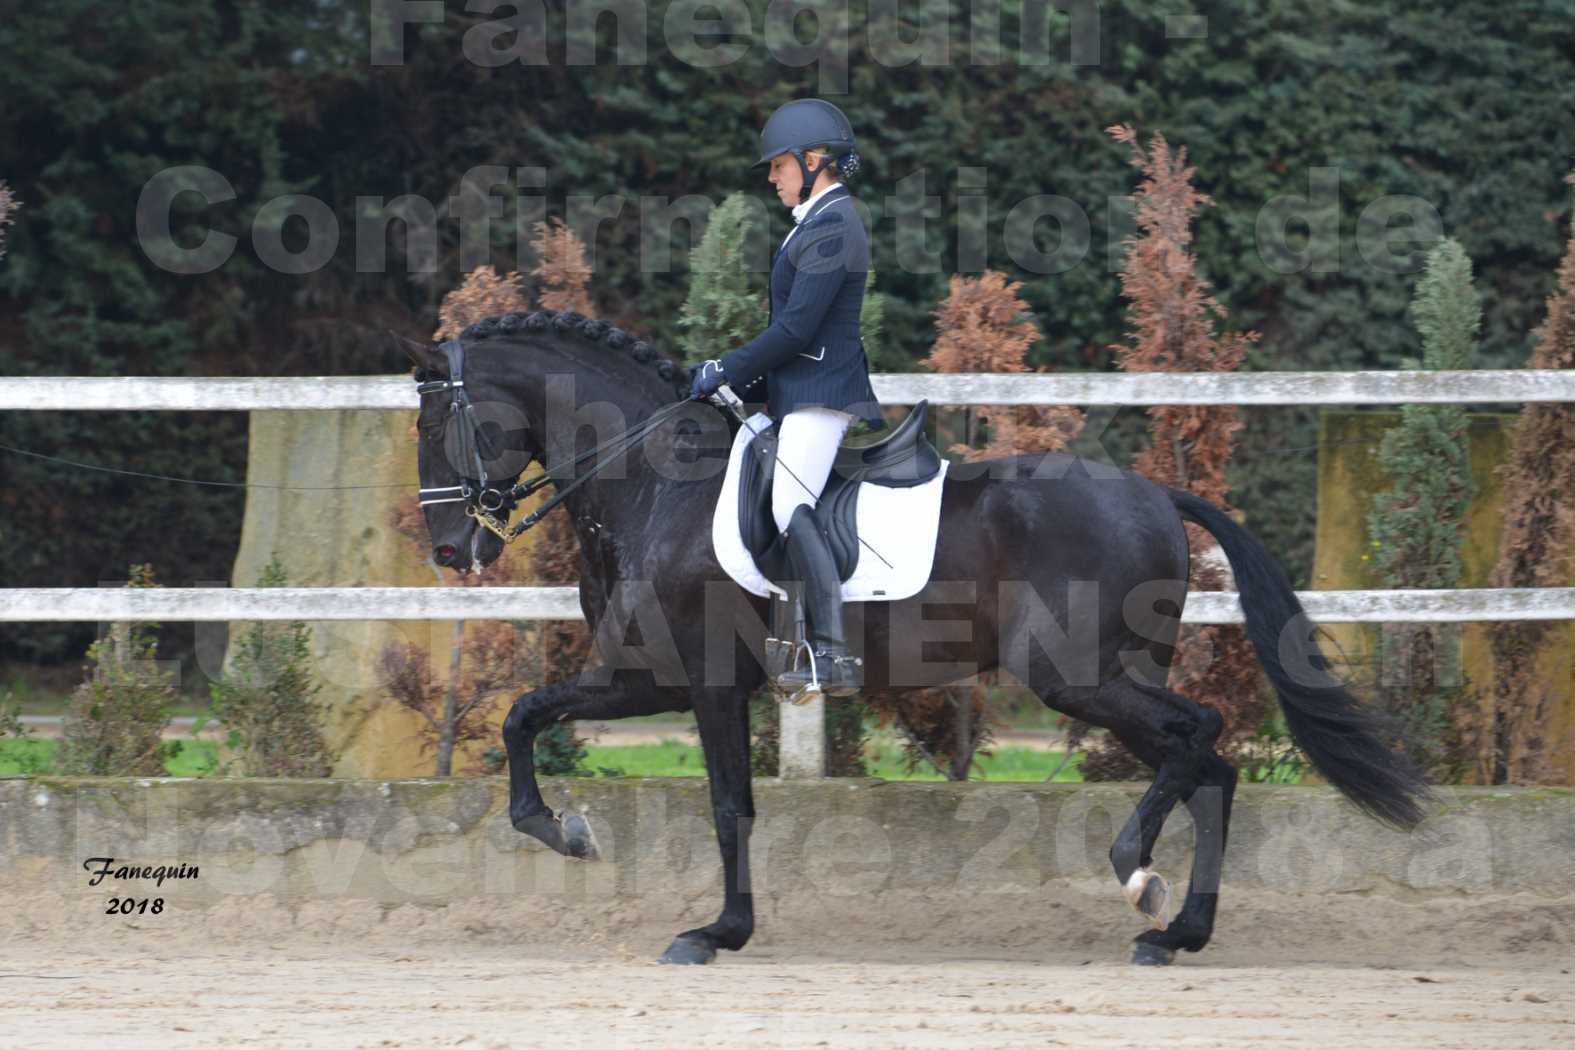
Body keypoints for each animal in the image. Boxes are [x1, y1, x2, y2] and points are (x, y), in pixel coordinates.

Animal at [403, 310, 1430, 969]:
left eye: (438, 421)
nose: (452, 549)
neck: (658, 485)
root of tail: (1151, 492)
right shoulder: (642, 677)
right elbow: (525, 718)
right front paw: (560, 829)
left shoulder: (697, 679)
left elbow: (728, 806)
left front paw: (714, 931)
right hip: (1112, 677)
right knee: (1207, 764)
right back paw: (1175, 932)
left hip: (1077, 677)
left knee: (1199, 739)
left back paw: (1137, 877)